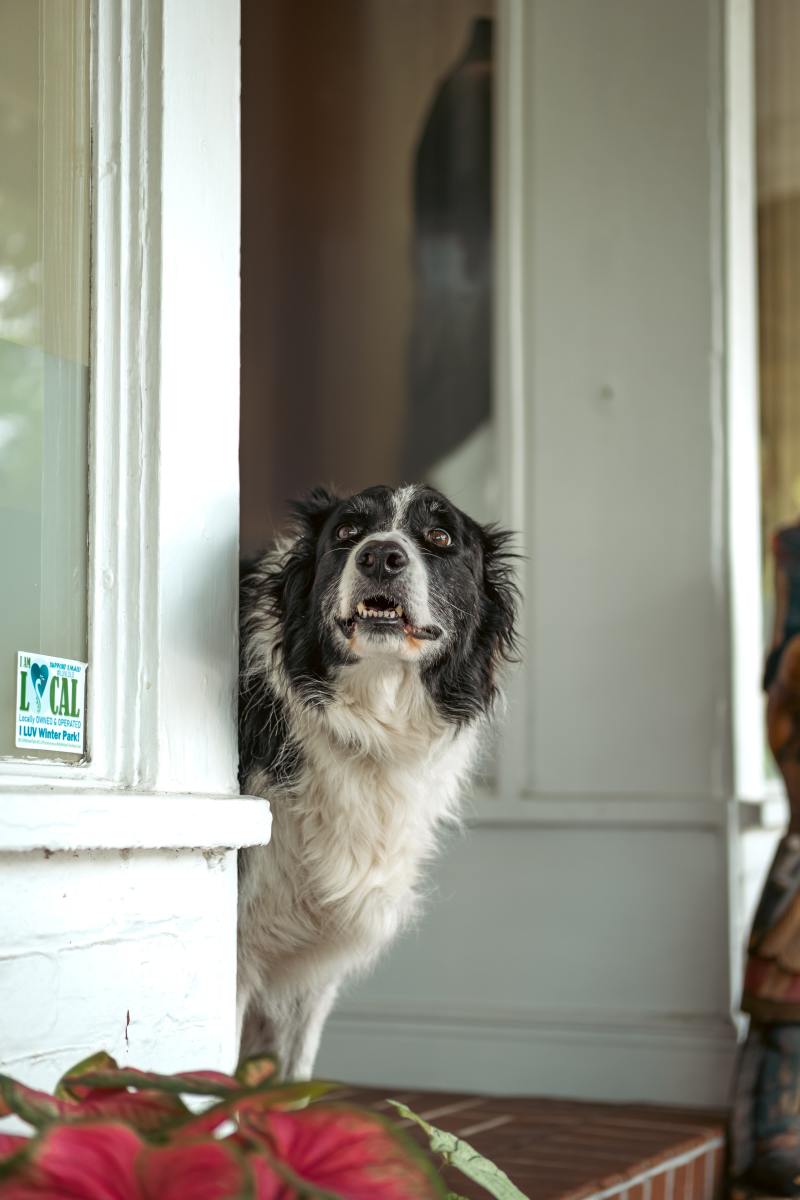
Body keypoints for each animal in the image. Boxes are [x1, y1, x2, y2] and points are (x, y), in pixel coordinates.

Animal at [236, 482, 520, 1084]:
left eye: (440, 537)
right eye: (347, 531)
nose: (381, 556)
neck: (369, 720)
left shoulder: (311, 962)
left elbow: (291, 1073)